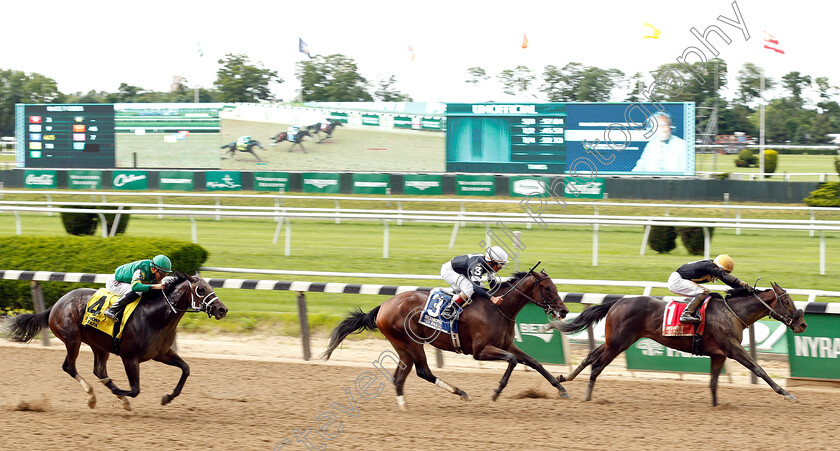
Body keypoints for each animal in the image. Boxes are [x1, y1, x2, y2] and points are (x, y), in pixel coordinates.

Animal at [322, 266, 572, 412]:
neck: (497, 309)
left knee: (399, 377)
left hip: (402, 347)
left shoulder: (506, 344)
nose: (564, 311)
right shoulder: (480, 350)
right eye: (548, 288)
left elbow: (535, 362)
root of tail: (383, 305)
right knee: (423, 372)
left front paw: (561, 388)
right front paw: (496, 392)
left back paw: (404, 406)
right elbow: (511, 360)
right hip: (412, 343)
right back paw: (461, 393)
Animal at [552, 284, 808, 408]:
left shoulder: (719, 355)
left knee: (590, 356)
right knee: (597, 365)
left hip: (614, 341)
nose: (802, 323)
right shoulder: (733, 349)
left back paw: (564, 378)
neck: (732, 313)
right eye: (786, 301)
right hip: (618, 343)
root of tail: (617, 301)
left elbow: (713, 383)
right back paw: (587, 396)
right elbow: (759, 369)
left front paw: (716, 406)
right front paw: (787, 393)